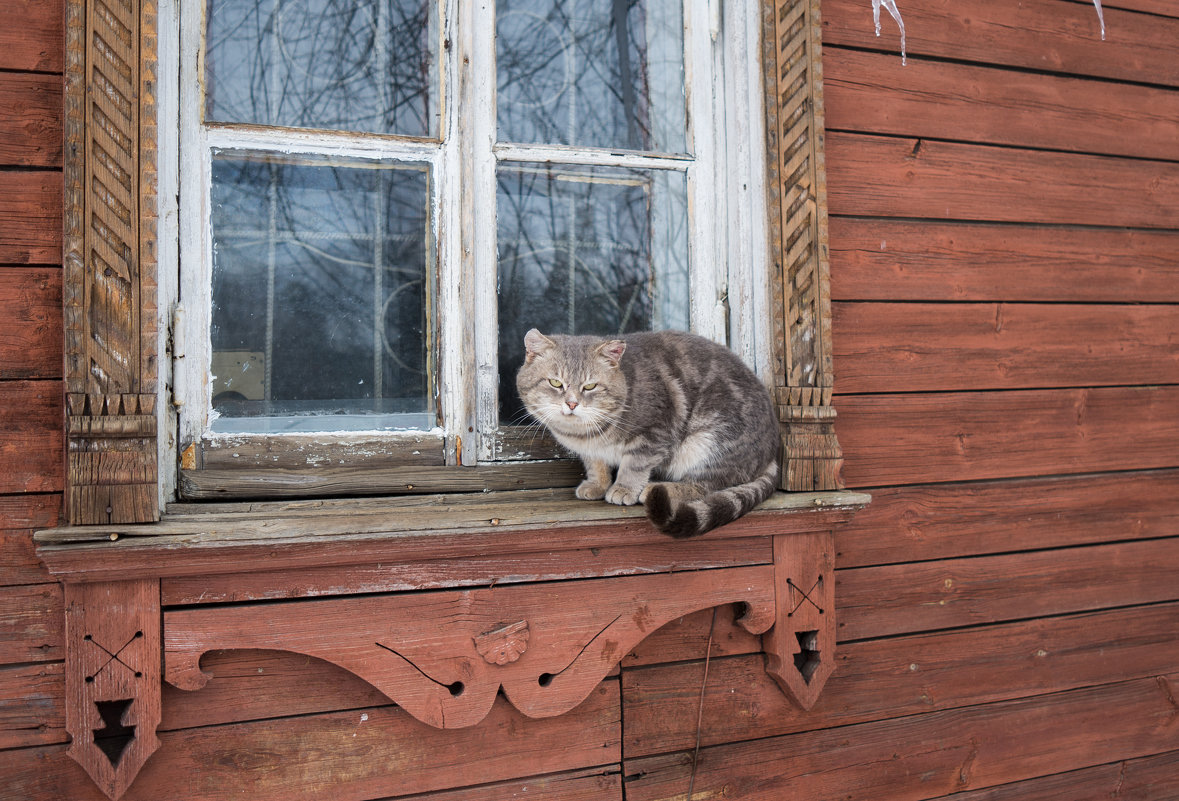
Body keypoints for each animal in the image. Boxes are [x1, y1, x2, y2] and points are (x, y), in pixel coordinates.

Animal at [518, 325, 782, 537]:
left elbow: (634, 465)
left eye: (590, 386)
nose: (572, 404)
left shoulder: (654, 432)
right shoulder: (591, 452)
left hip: (709, 441)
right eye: (555, 383)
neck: (586, 434)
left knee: (706, 485)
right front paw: (597, 484)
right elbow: (596, 465)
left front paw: (623, 488)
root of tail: (772, 452)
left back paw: (656, 488)